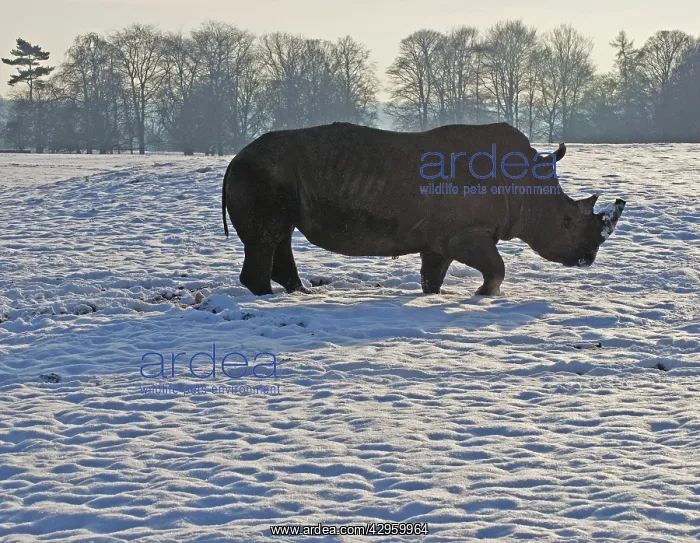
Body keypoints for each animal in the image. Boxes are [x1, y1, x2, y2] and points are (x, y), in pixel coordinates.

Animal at [222, 122, 625, 296]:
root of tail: (233, 159)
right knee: (268, 236)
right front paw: (485, 296)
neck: (525, 186)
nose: (588, 257)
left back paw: (300, 292)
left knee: (281, 235)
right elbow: (497, 267)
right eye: (567, 221)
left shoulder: (441, 237)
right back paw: (267, 297)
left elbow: (433, 274)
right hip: (261, 174)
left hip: (272, 176)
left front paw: (435, 296)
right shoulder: (464, 233)